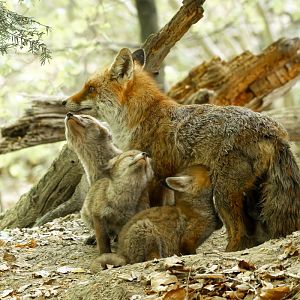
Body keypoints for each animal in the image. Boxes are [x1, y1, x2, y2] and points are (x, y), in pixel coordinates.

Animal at [64, 48, 300, 251]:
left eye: (90, 88)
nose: (65, 103)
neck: (141, 117)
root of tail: (275, 129)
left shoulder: (156, 176)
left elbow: (151, 209)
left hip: (223, 193)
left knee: (239, 234)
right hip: (251, 193)